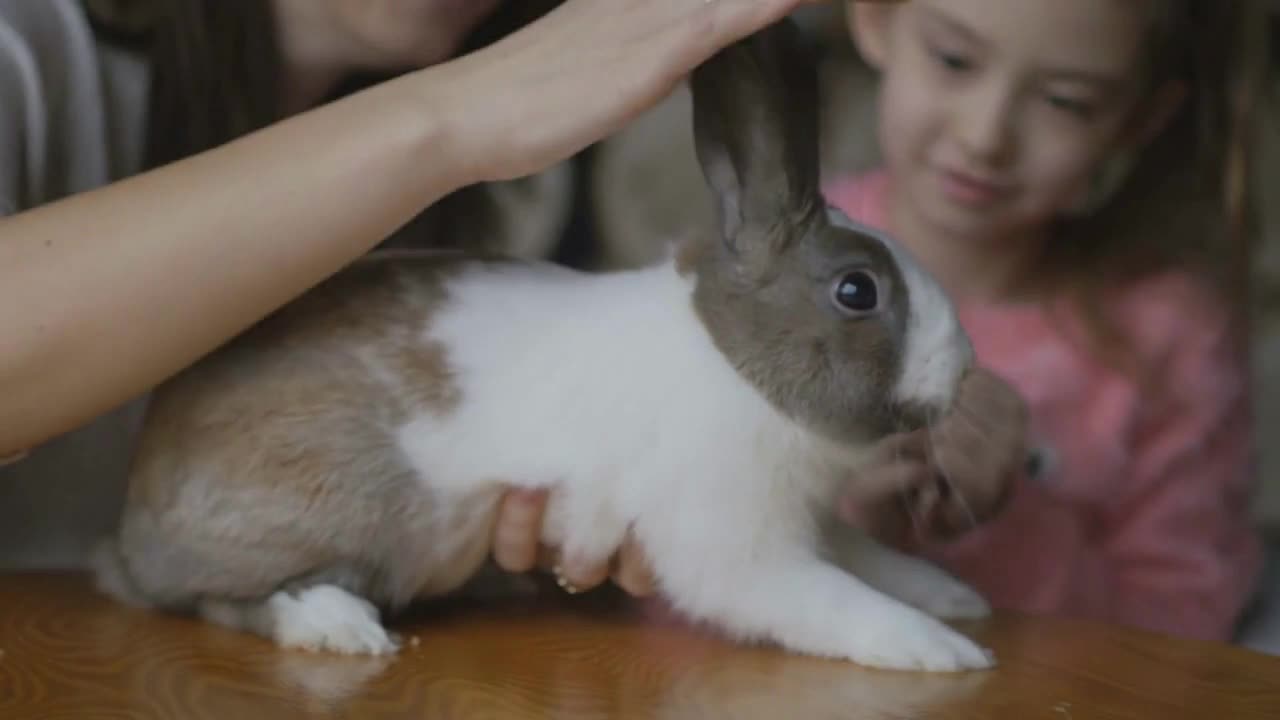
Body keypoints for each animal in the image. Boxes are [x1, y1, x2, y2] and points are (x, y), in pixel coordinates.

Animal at [92, 18, 998, 671]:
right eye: (857, 291)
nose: (964, 370)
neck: (732, 362)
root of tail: (133, 518)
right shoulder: (739, 549)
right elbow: (835, 601)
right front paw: (945, 653)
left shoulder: (811, 525)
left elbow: (873, 563)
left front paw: (957, 603)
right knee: (223, 600)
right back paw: (342, 626)